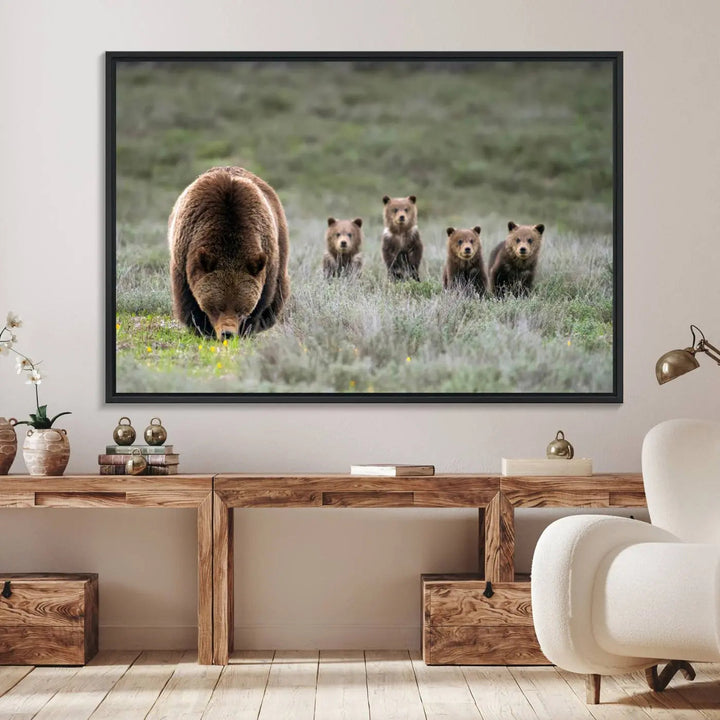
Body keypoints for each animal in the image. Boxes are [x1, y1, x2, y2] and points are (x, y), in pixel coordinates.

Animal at [169, 167, 290, 338]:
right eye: (217, 307)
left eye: (241, 309)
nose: (228, 333)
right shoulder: (184, 256)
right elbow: (188, 299)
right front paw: (202, 328)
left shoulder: (267, 258)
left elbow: (263, 298)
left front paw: (247, 329)